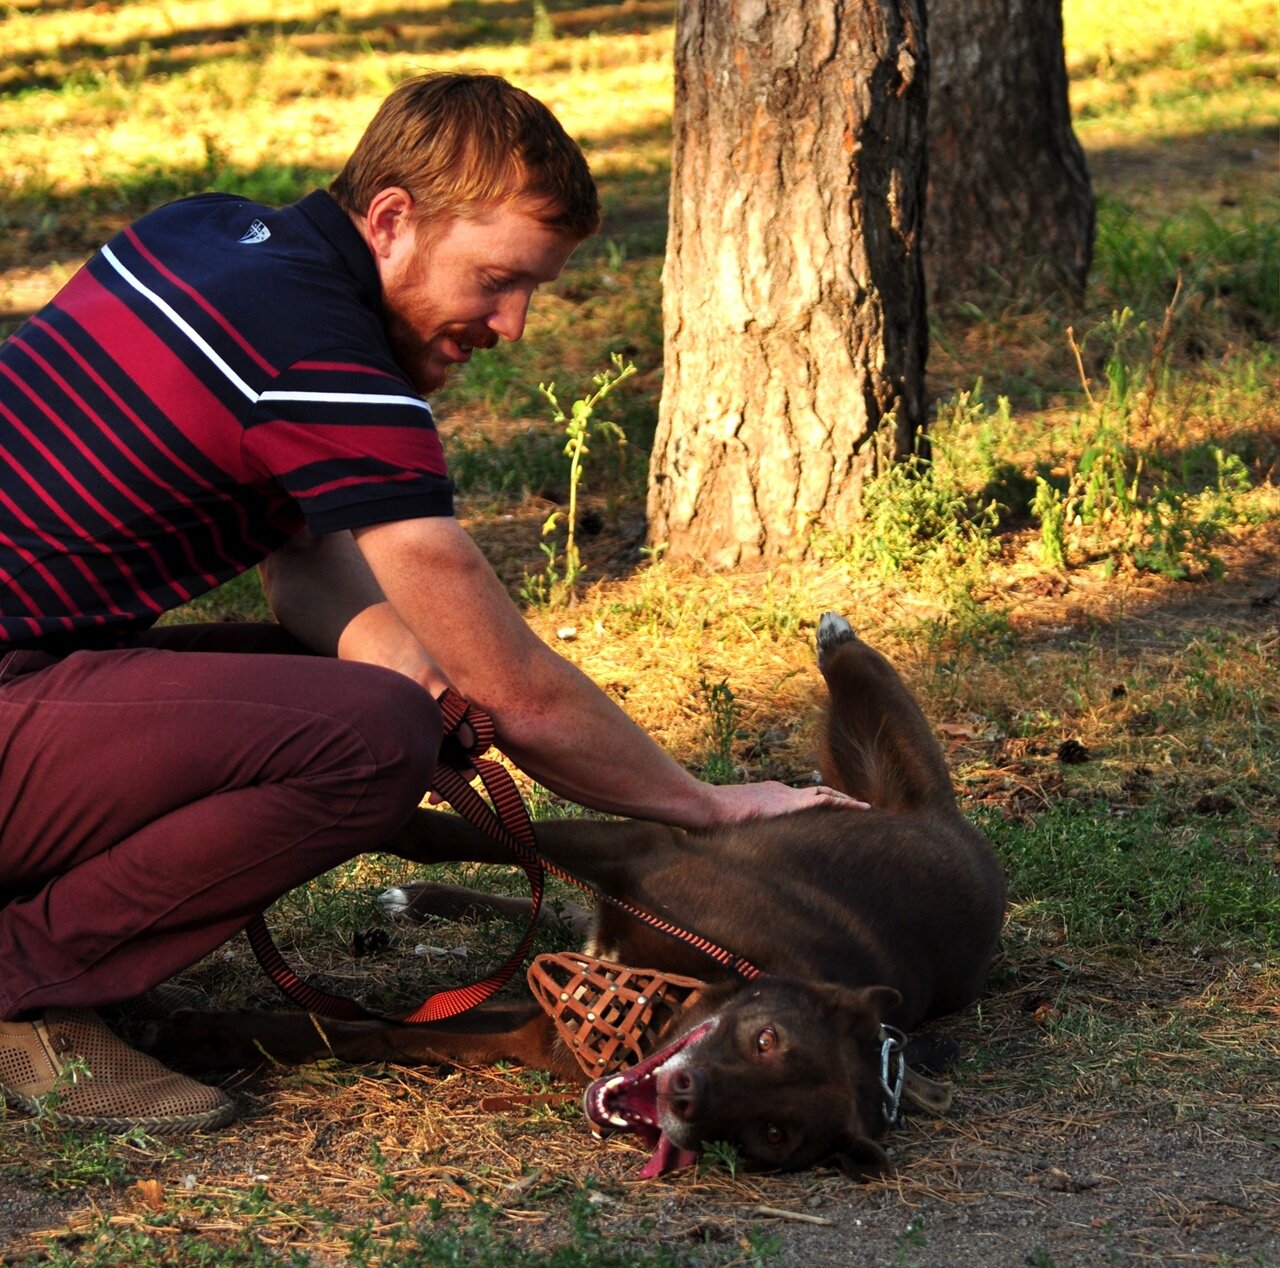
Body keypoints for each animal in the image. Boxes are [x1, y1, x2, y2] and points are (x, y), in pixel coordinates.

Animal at [149, 614, 1003, 1182]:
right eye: (768, 1041)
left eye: (772, 1133)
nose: (687, 1097)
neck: (695, 985)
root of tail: (953, 828)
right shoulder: (638, 850)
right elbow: (481, 833)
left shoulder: (524, 1033)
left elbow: (362, 1033)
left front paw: (209, 1037)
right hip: (888, 762)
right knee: (864, 677)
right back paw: (836, 637)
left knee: (552, 910)